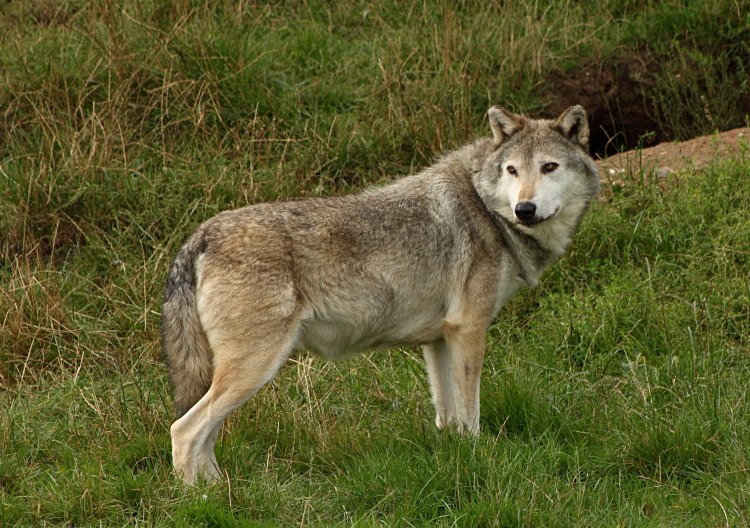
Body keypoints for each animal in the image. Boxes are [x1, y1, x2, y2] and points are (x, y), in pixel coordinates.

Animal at [162, 105, 600, 483]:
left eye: (549, 167)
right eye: (512, 170)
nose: (525, 209)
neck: (485, 207)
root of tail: (201, 235)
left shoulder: (439, 338)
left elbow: (448, 417)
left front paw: (456, 458)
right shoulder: (469, 329)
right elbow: (470, 414)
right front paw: (481, 459)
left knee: (204, 434)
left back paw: (220, 488)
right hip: (254, 369)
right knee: (184, 430)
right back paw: (199, 497)